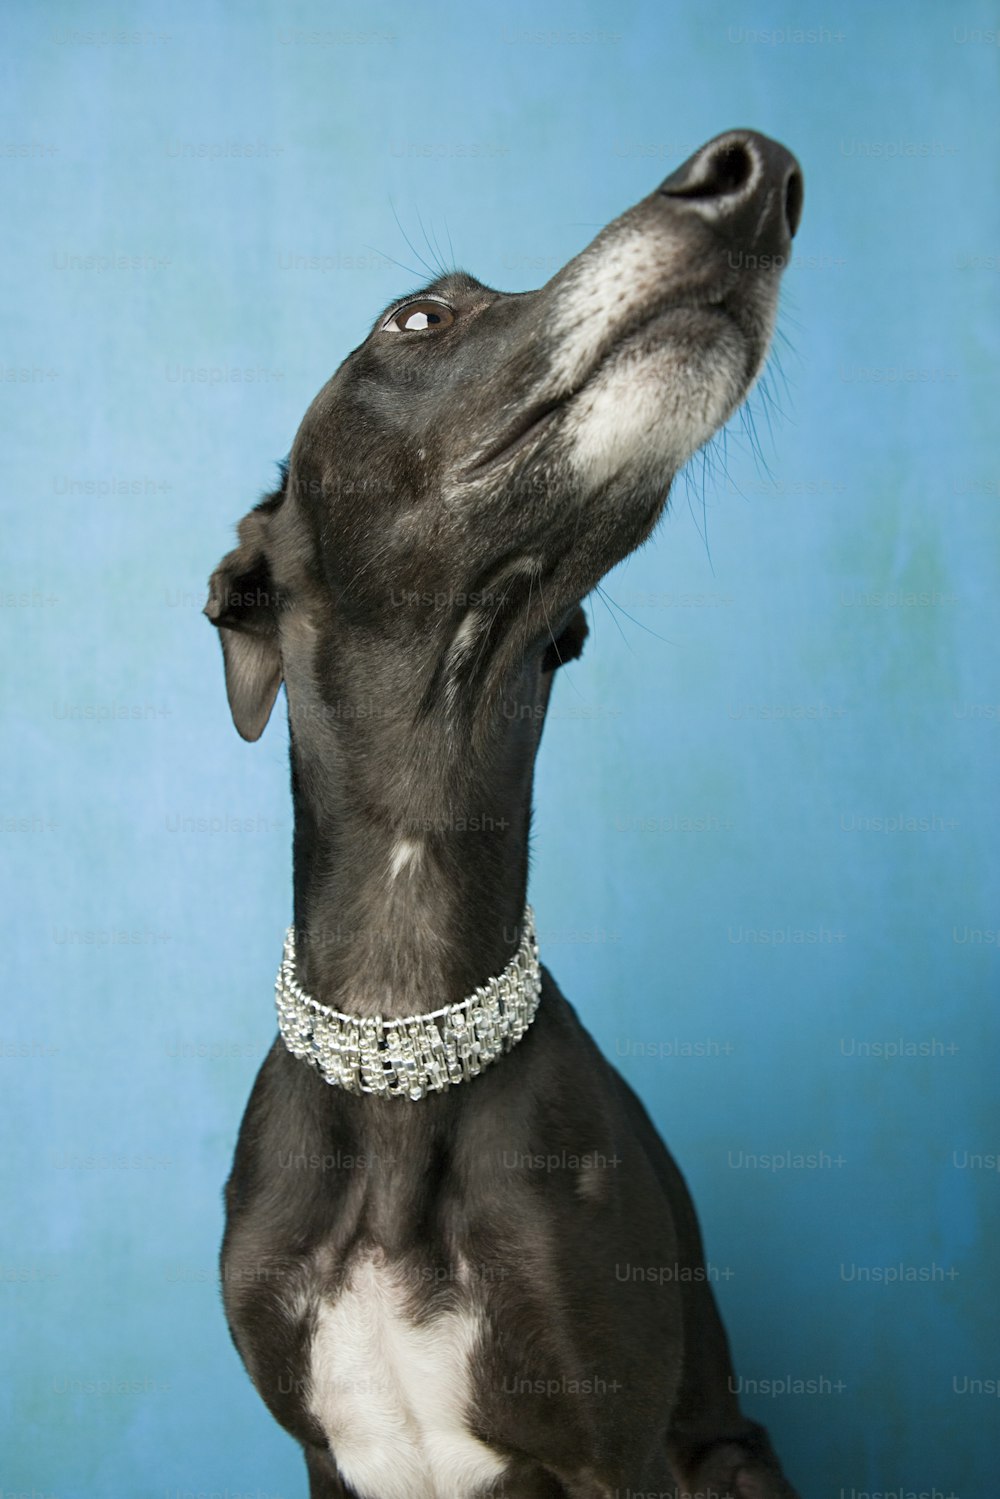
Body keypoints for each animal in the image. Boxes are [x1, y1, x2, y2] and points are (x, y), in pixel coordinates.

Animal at [205, 131, 803, 1499]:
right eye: (415, 318)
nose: (753, 176)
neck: (399, 1031)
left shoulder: (612, 1447)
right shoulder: (319, 1451)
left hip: (733, 1457)